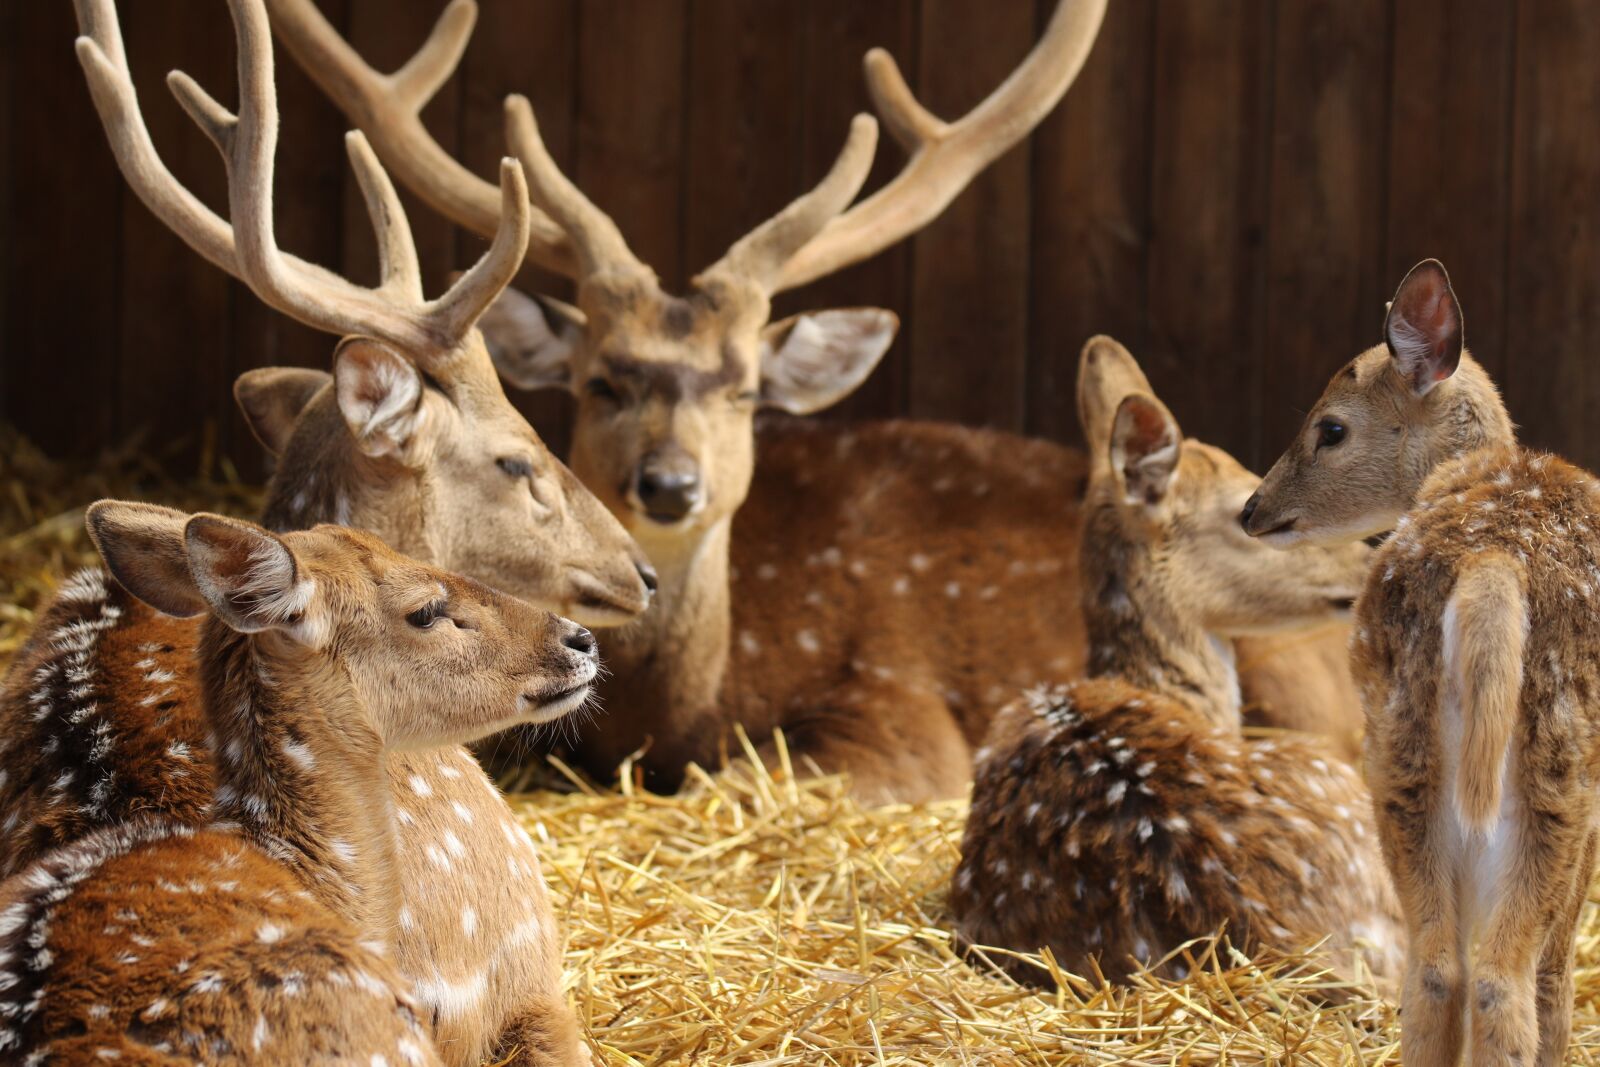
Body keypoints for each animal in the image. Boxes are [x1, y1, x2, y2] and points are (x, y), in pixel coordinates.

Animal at [1241, 260, 1600, 1067]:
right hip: (1558, 778)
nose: (1251, 509)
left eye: (1331, 427)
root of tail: (1494, 563)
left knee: (1437, 970)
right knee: (1514, 978)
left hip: (1400, 758)